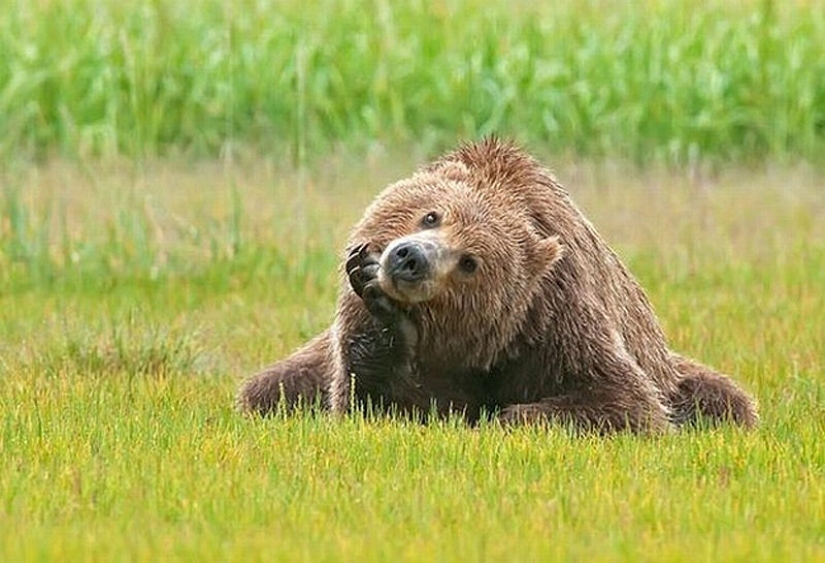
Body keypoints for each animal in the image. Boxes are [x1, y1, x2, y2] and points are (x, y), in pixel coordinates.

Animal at [237, 138, 758, 433]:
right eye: (432, 215)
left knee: (725, 400)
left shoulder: (553, 319)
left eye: (470, 262)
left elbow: (623, 400)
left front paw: (503, 416)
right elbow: (365, 401)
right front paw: (384, 318)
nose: (410, 258)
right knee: (268, 387)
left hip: (674, 372)